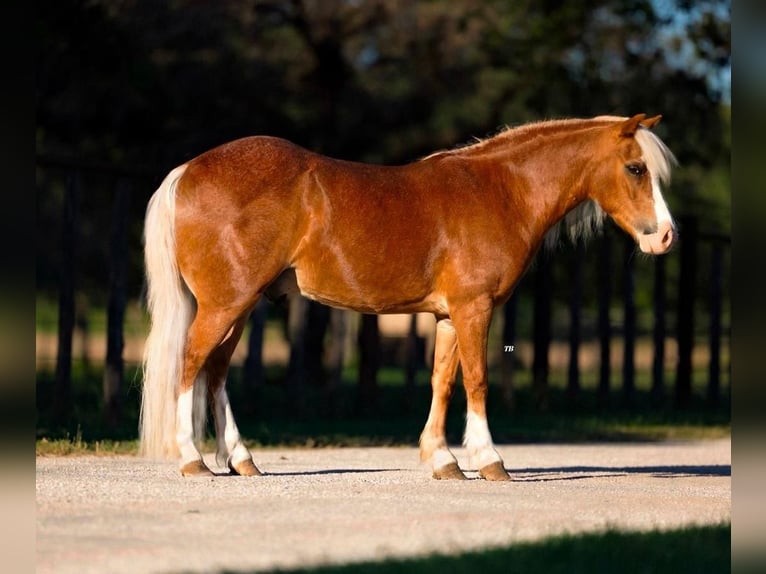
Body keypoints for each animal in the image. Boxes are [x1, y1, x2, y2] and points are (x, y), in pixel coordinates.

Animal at [140, 113, 680, 482]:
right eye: (635, 168)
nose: (665, 237)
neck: (501, 191)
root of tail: (187, 171)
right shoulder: (474, 308)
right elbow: (477, 380)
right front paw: (490, 460)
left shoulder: (448, 316)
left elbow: (443, 381)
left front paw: (443, 460)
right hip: (225, 305)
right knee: (191, 363)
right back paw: (193, 460)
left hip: (240, 306)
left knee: (216, 373)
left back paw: (241, 459)